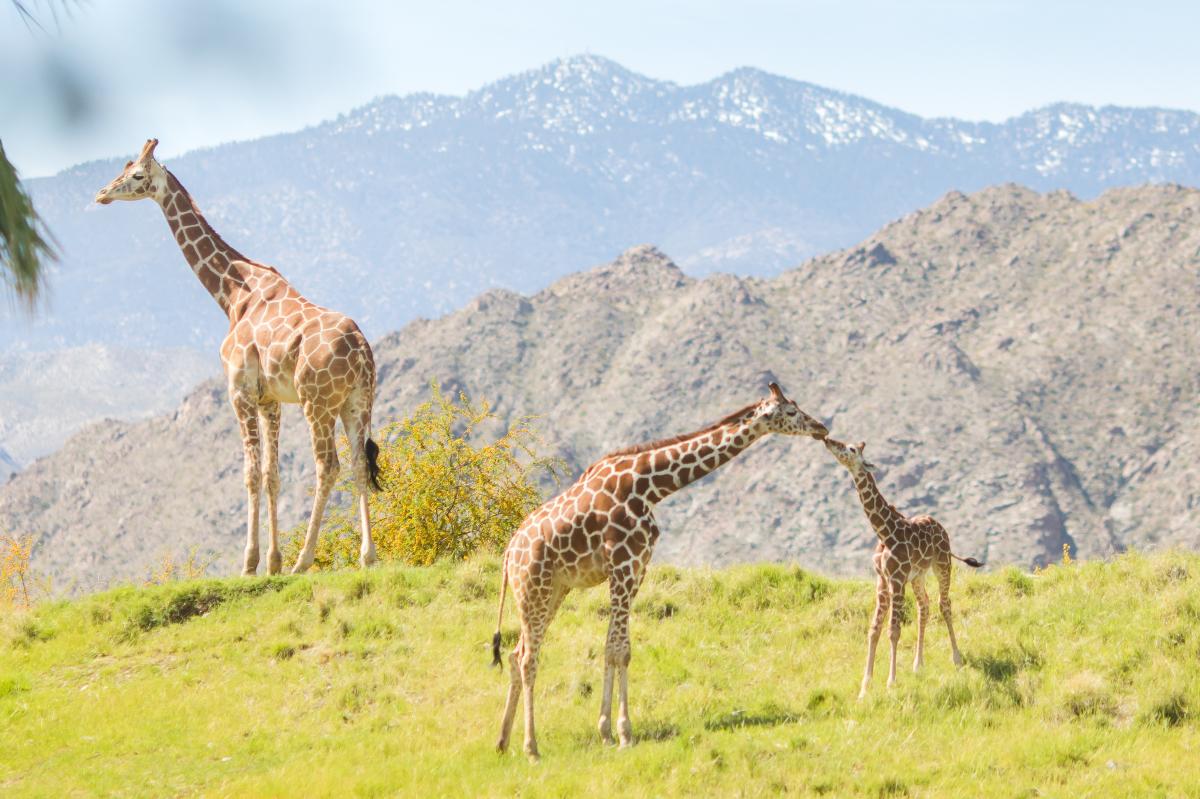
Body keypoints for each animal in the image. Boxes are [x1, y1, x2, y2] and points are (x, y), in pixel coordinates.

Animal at [96, 136, 381, 573]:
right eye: (124, 168)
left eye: (137, 175)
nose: (102, 194)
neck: (231, 295)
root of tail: (363, 353)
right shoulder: (270, 400)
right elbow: (272, 474)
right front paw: (273, 562)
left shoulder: (239, 391)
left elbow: (249, 474)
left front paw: (250, 563)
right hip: (357, 402)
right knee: (358, 463)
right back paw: (367, 556)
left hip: (317, 402)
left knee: (327, 466)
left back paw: (304, 561)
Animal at [492, 381, 830, 758]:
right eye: (791, 412)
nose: (821, 428)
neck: (649, 487)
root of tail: (509, 553)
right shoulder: (623, 565)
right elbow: (618, 651)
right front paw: (624, 733)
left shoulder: (637, 568)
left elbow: (614, 649)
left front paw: (606, 732)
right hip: (532, 589)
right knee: (528, 659)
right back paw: (531, 747)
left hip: (552, 591)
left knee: (516, 653)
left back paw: (503, 741)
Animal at [825, 436, 984, 695]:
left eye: (851, 449)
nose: (828, 440)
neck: (885, 532)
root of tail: (941, 527)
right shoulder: (882, 580)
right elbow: (874, 629)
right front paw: (864, 687)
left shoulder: (897, 578)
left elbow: (893, 630)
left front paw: (891, 682)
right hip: (918, 576)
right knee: (924, 606)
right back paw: (918, 665)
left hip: (942, 564)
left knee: (944, 604)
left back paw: (957, 659)